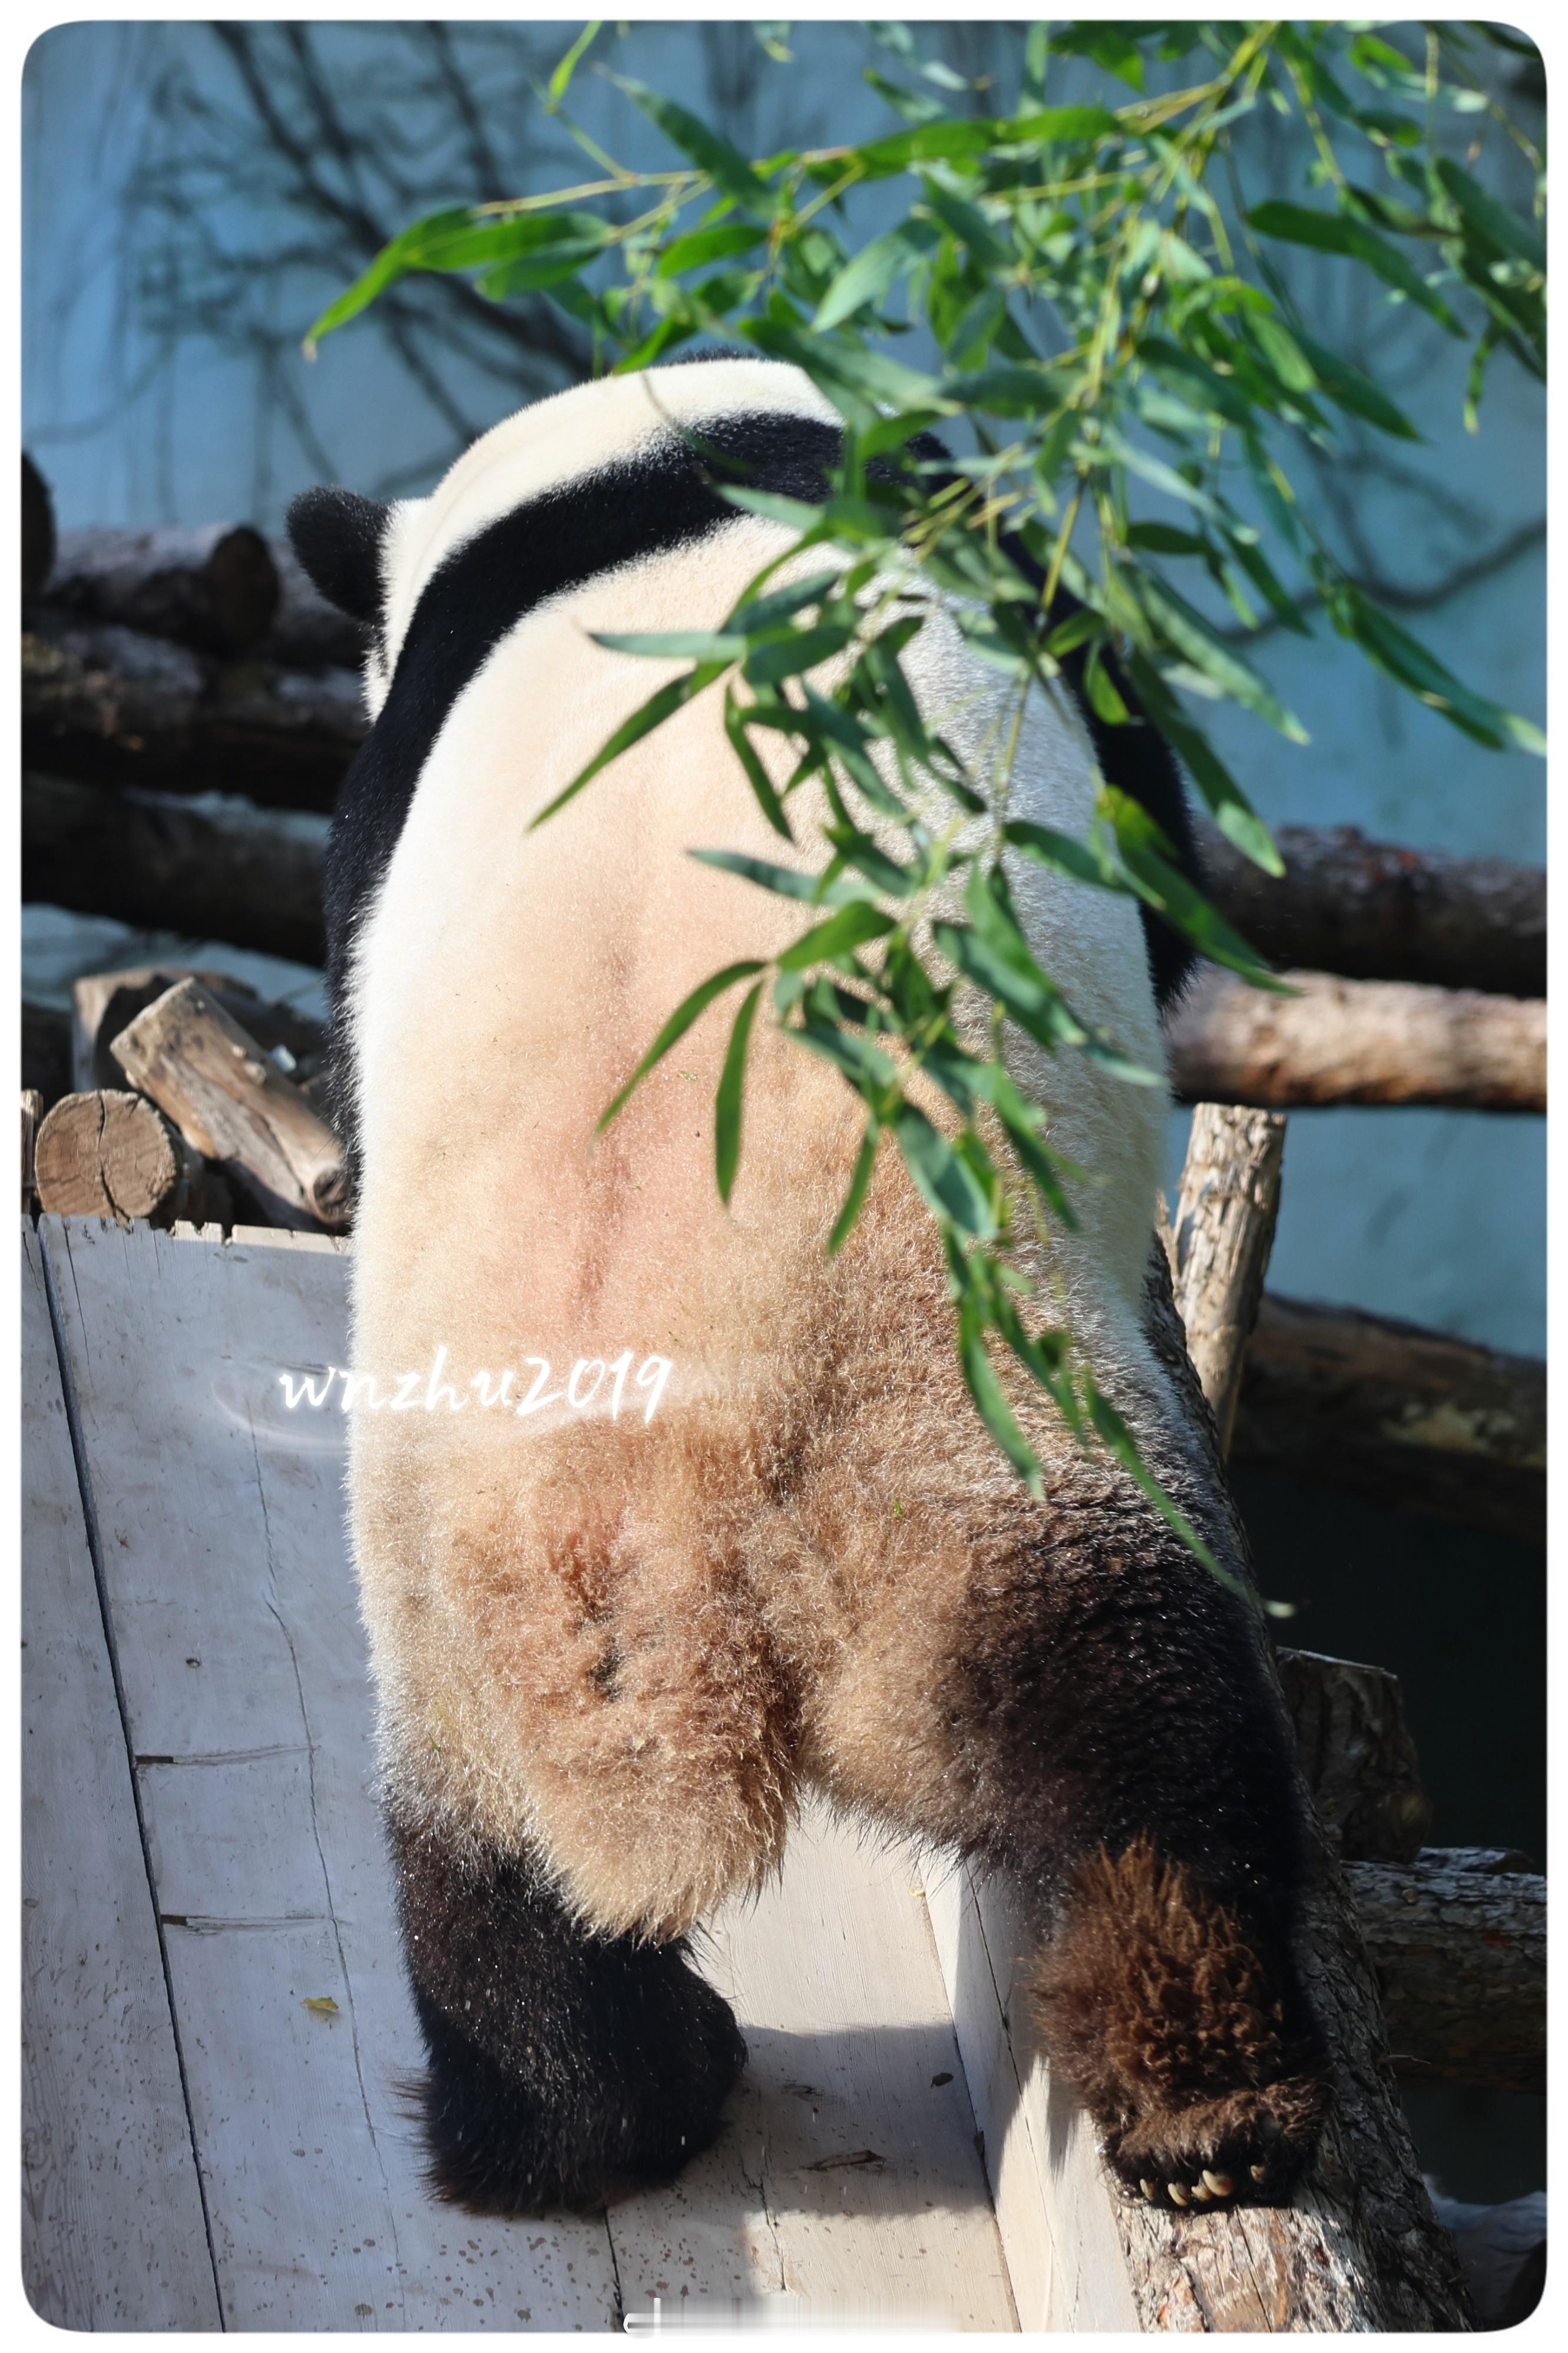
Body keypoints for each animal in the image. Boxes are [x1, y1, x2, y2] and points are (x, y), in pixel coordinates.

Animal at [286, 354, 1328, 2221]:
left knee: (492, 1900)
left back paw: (585, 2118)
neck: (649, 459)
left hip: (454, 1625)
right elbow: (1149, 823)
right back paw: (1212, 2097)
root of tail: (659, 1541)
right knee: (1145, 1735)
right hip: (961, 1452)